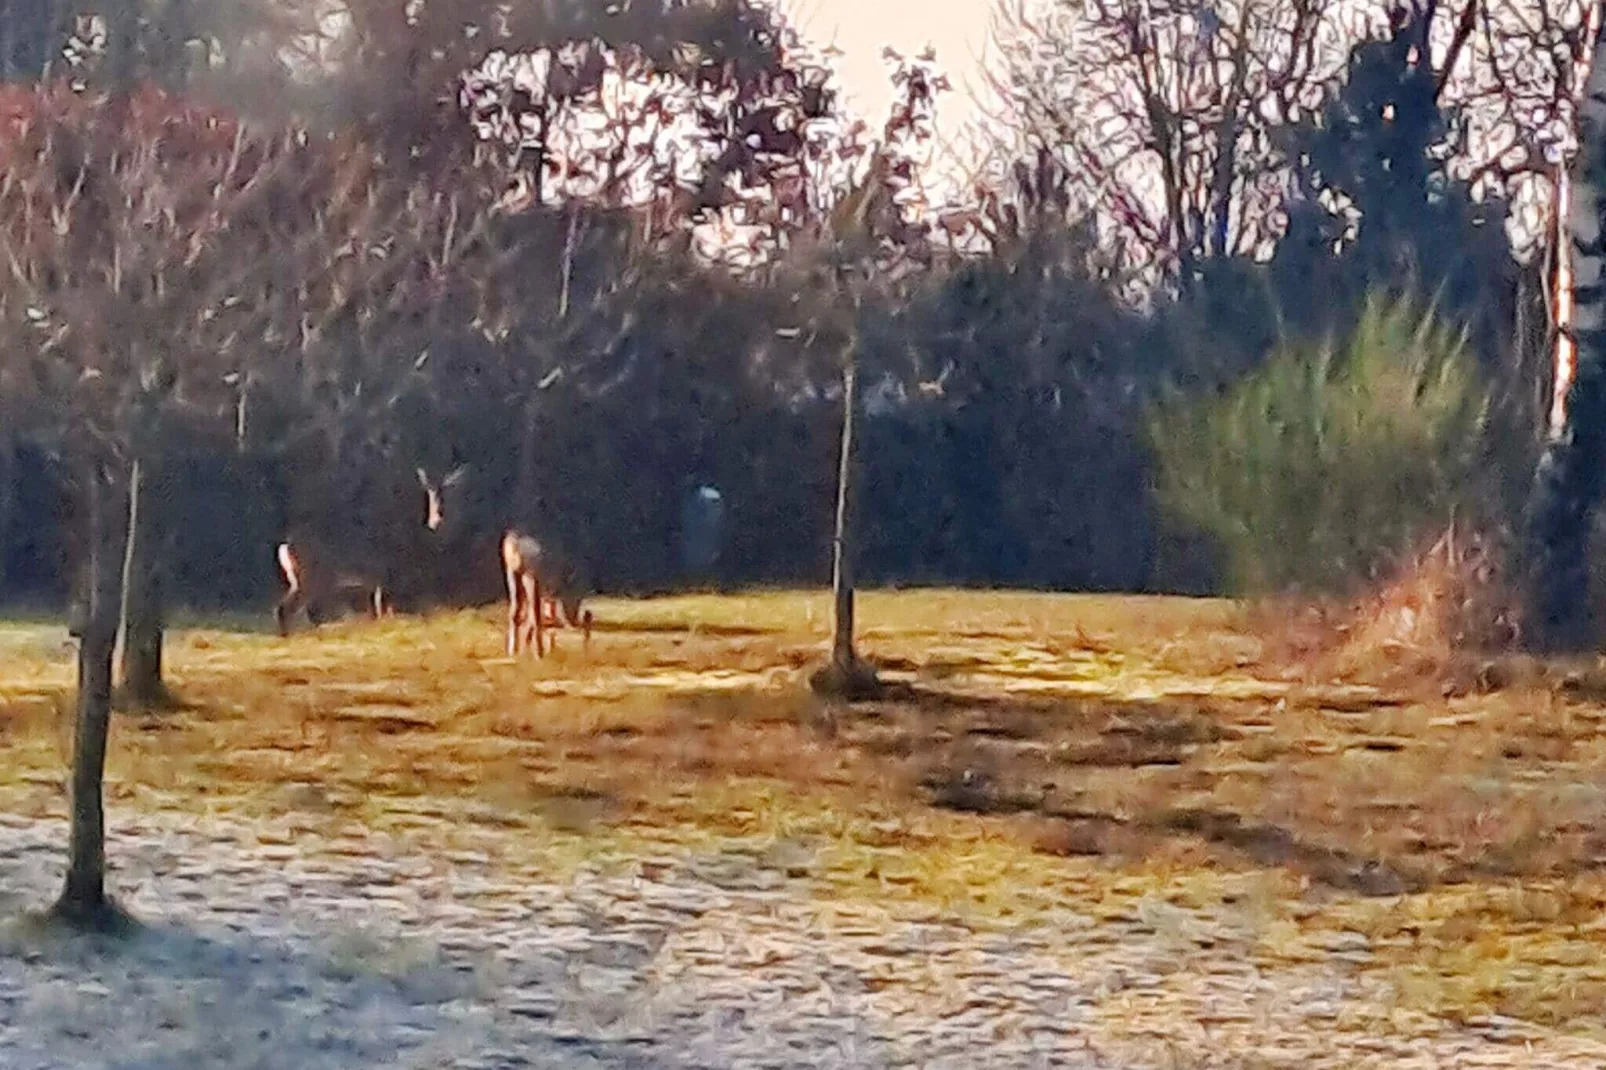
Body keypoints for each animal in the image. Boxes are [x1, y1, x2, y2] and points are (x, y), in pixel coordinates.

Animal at [274, 459, 465, 629]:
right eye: (427, 495)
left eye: (442, 497)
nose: (436, 519)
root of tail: (286, 546)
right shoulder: (388, 573)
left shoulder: (377, 579)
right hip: (314, 577)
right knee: (290, 609)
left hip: (301, 580)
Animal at [497, 526, 594, 655]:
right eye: (577, 598)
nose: (586, 615)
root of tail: (516, 541)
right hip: (529, 578)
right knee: (534, 616)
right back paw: (539, 652)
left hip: (512, 574)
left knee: (515, 612)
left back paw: (513, 651)